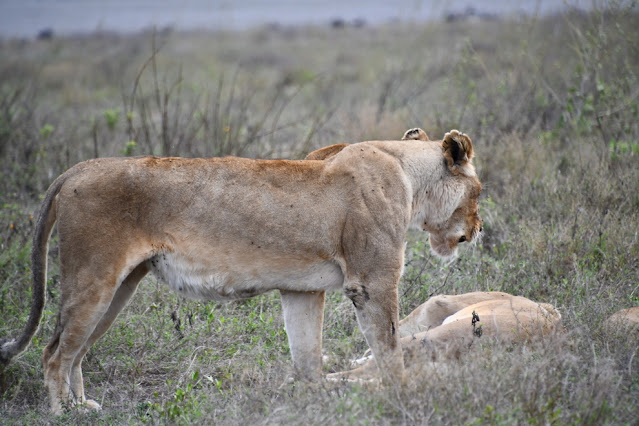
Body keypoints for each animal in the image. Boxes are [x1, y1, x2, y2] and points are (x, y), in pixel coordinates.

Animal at [0, 128, 480, 414]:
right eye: (478, 191)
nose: (478, 230)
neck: (406, 173)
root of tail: (78, 168)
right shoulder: (372, 282)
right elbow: (389, 346)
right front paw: (403, 395)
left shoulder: (302, 290)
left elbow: (308, 356)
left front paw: (319, 397)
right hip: (93, 278)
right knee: (54, 353)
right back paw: (63, 415)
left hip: (119, 287)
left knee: (75, 351)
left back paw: (83, 408)